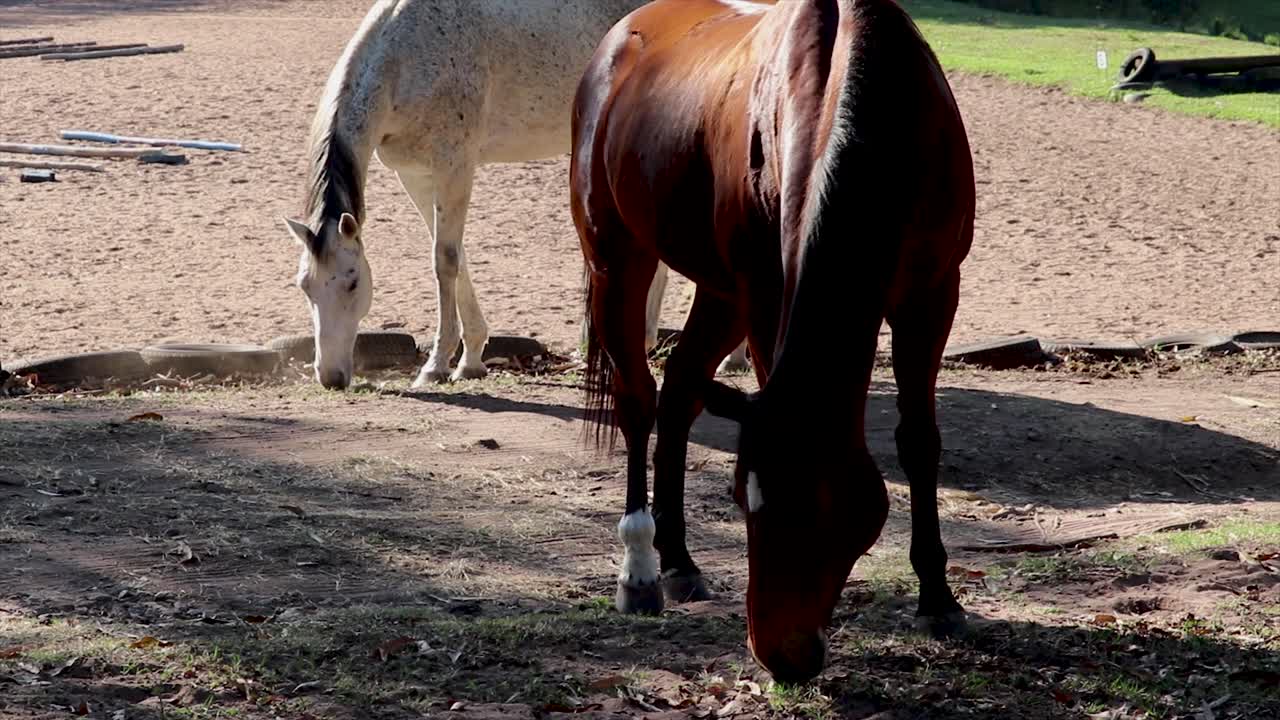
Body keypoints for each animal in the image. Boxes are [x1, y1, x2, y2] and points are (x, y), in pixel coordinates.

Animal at [282, 0, 664, 390]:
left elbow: (446, 260)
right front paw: (470, 360)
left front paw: (436, 364)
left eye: (353, 282)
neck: (402, 61)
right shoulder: (415, 175)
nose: (330, 376)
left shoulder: (455, 166)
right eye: (305, 286)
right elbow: (454, 256)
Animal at [571, 0, 975, 684]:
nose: (781, 655)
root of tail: (620, 39)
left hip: (720, 293)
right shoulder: (766, 292)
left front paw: (938, 599)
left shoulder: (932, 295)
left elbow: (919, 441)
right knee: (638, 401)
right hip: (616, 259)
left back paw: (679, 560)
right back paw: (642, 568)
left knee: (680, 390)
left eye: (831, 513)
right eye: (744, 502)